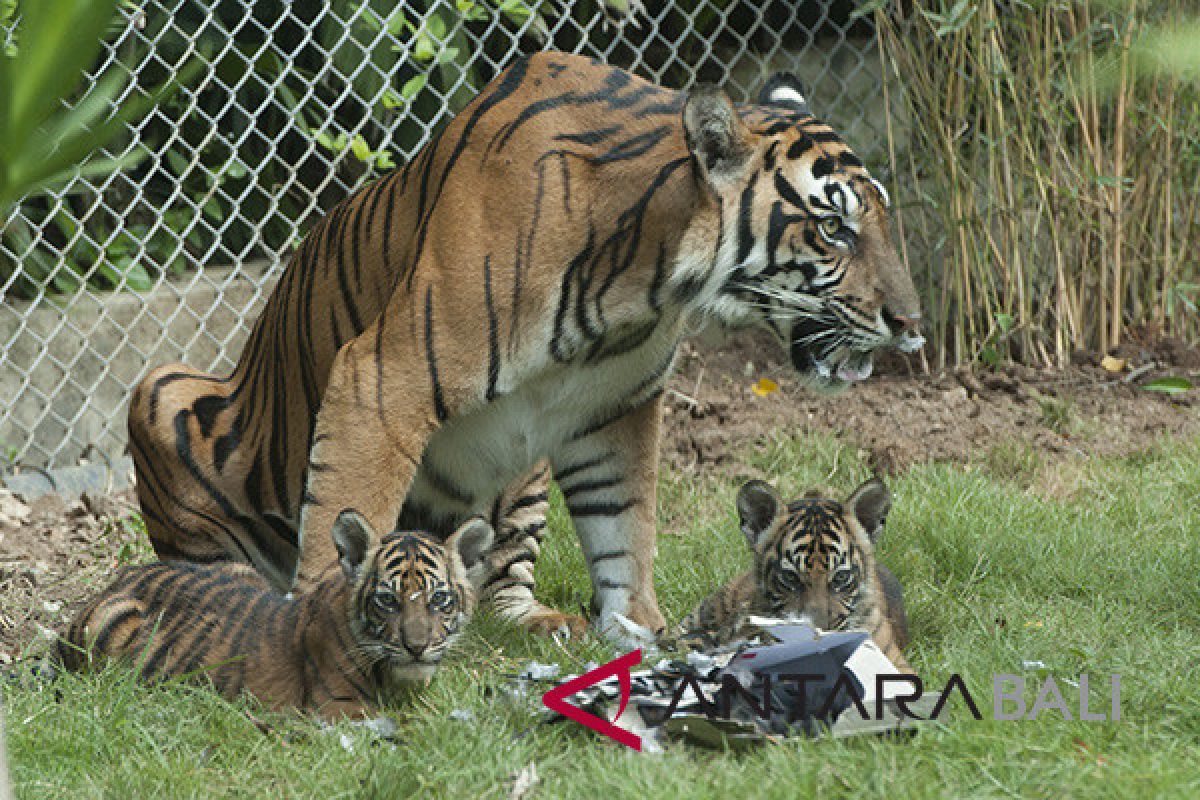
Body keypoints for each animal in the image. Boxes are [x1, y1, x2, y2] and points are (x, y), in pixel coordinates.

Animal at [129, 53, 916, 647]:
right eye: (834, 228)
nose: (909, 323)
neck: (647, 283)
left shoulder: (615, 405)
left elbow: (625, 523)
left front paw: (639, 629)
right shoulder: (379, 378)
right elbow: (342, 522)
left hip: (523, 455)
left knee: (500, 576)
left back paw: (540, 623)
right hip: (162, 387)